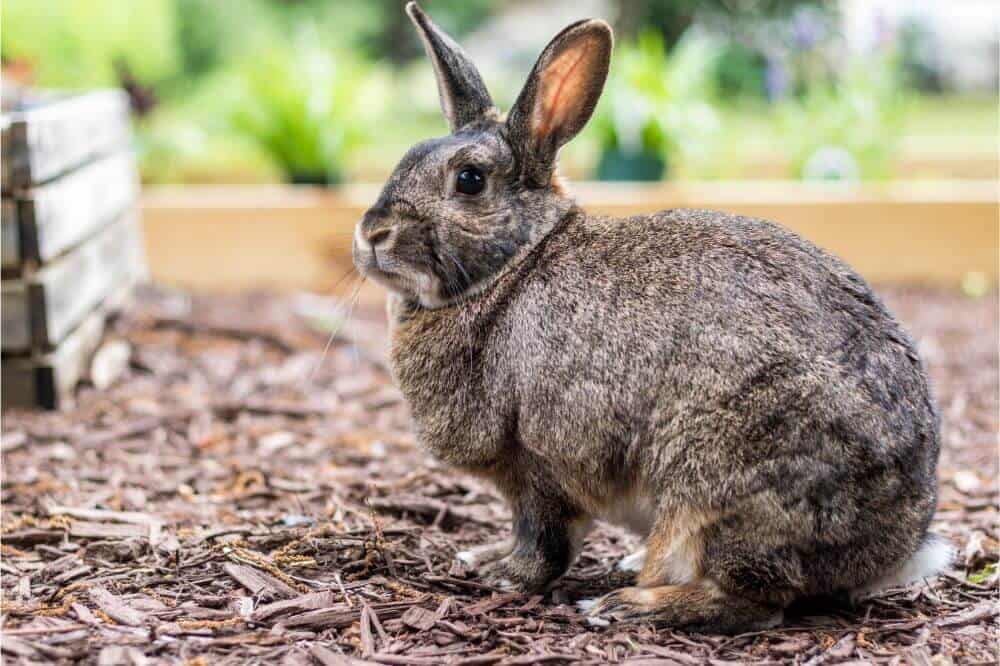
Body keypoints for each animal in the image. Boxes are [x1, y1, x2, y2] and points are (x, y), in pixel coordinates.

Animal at [354, 2, 952, 632]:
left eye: (469, 179)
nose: (371, 233)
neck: (514, 265)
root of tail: (897, 545)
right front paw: (480, 555)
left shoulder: (540, 464)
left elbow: (544, 539)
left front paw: (504, 575)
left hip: (714, 488)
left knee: (753, 600)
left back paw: (626, 603)